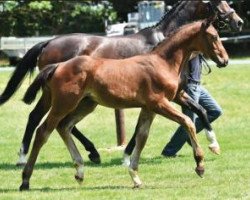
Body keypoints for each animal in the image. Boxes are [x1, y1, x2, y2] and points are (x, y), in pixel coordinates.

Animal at [0, 0, 243, 166]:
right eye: (217, 2)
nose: (238, 21)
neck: (164, 46)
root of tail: (48, 42)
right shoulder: (156, 98)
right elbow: (141, 128)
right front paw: (127, 156)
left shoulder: (176, 94)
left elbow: (201, 110)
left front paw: (213, 144)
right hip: (67, 96)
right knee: (48, 119)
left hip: (65, 96)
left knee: (43, 117)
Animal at [19, 19, 229, 191]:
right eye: (213, 36)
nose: (225, 60)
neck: (162, 63)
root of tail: (58, 66)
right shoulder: (159, 104)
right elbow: (188, 122)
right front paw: (200, 165)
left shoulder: (149, 108)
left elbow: (142, 136)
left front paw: (135, 176)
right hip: (64, 103)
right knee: (43, 131)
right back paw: (25, 180)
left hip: (86, 105)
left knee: (64, 126)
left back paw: (80, 170)